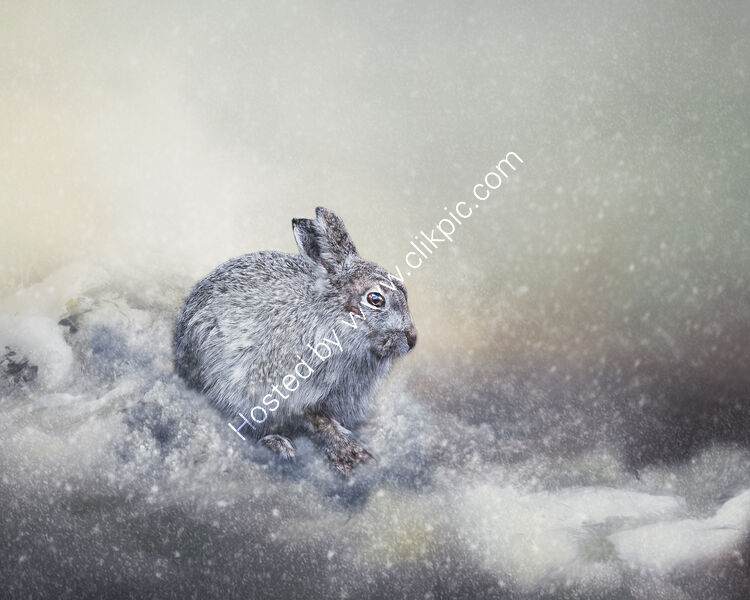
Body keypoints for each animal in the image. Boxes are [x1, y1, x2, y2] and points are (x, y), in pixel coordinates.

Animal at [175, 207, 417, 474]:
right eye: (376, 299)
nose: (412, 339)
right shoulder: (285, 390)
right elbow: (318, 420)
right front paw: (351, 454)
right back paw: (278, 445)